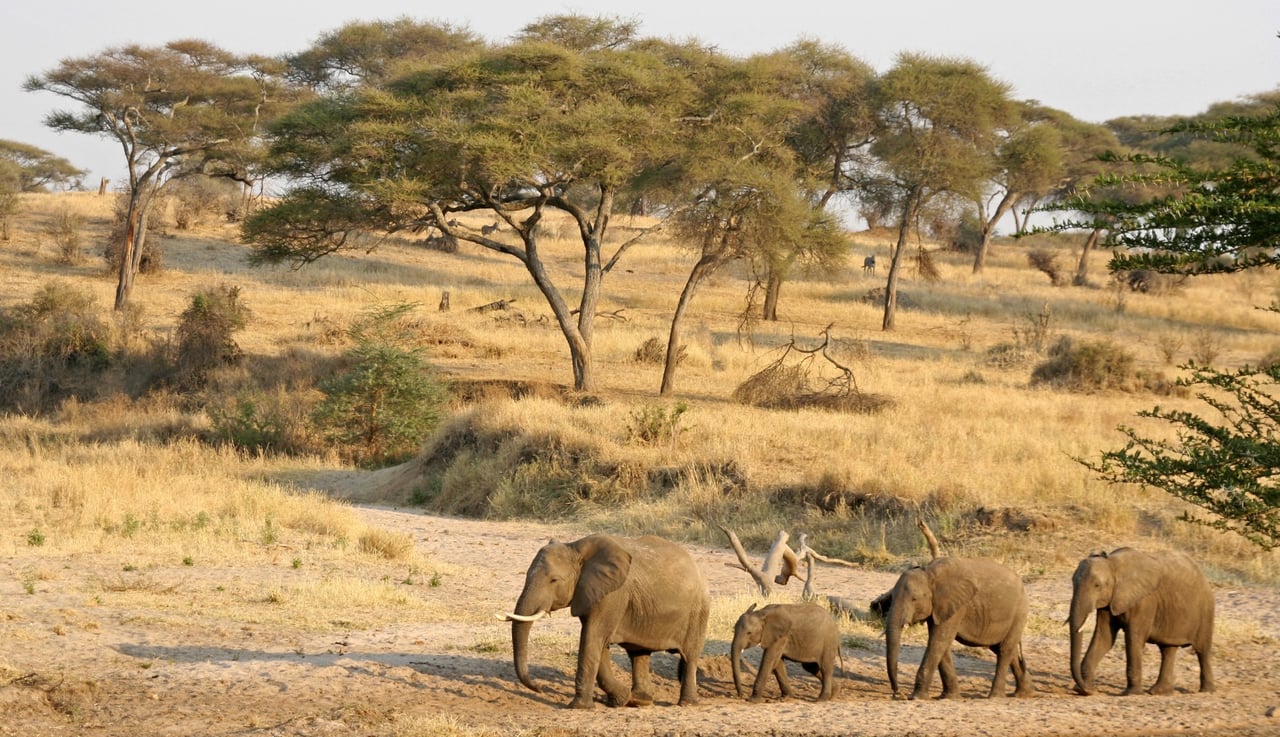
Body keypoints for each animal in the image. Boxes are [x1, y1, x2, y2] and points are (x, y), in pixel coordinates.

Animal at [494, 534, 711, 706]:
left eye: (554, 580)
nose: (539, 688)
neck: (576, 548)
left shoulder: (612, 596)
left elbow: (592, 638)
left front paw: (579, 707)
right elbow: (599, 644)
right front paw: (622, 699)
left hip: (698, 612)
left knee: (690, 655)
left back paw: (686, 704)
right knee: (639, 654)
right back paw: (642, 700)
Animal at [885, 555, 1034, 701]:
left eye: (914, 599)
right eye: (891, 597)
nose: (897, 693)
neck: (929, 572)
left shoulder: (956, 606)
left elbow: (938, 642)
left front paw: (917, 697)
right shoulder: (940, 608)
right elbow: (940, 644)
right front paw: (950, 697)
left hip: (1019, 612)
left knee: (1005, 649)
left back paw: (995, 697)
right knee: (1005, 649)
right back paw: (1023, 694)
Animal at [1064, 547, 1213, 696]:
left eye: (1097, 585)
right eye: (1073, 582)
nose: (1089, 690)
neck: (1113, 564)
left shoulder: (1144, 601)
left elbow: (1133, 639)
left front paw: (1131, 693)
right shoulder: (1110, 601)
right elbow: (1104, 638)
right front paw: (1083, 690)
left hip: (1205, 610)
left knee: (1202, 650)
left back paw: (1206, 691)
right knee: (1168, 649)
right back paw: (1158, 692)